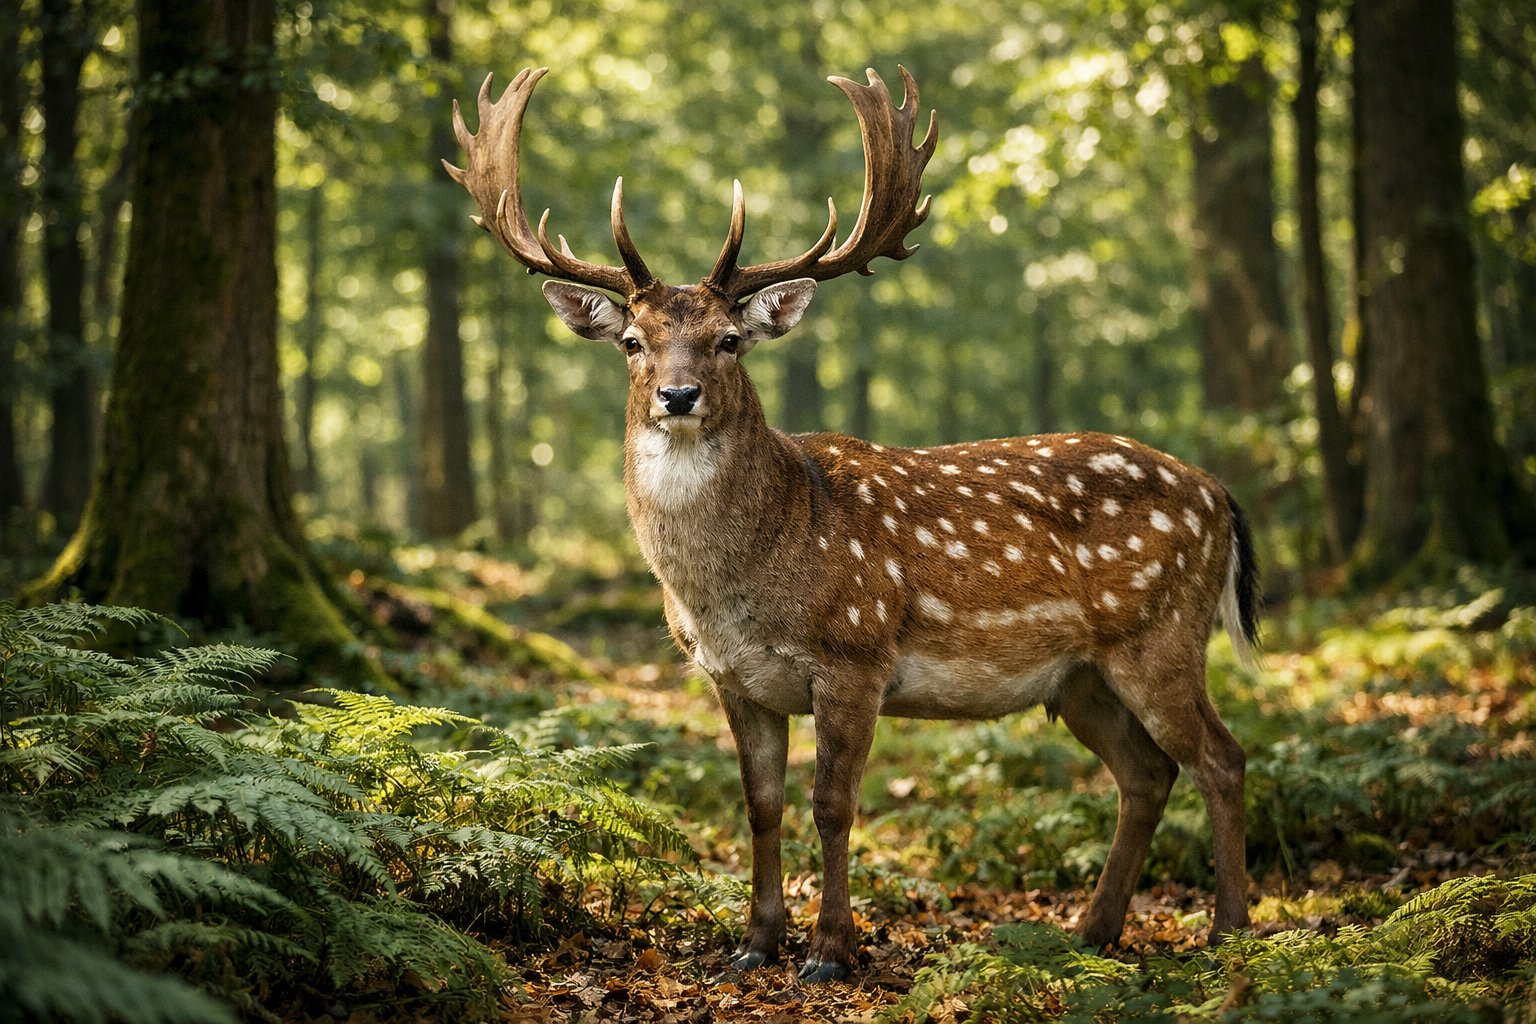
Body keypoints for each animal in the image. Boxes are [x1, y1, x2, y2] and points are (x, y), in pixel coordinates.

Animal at [444, 65, 1259, 983]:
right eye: (630, 341)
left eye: (730, 339)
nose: (678, 395)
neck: (742, 584)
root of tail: (1220, 496)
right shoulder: (731, 679)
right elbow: (759, 806)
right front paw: (755, 944)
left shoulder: (856, 655)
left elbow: (833, 804)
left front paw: (831, 951)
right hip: (1081, 677)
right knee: (1148, 772)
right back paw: (1094, 930)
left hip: (1162, 633)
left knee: (1221, 758)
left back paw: (1229, 931)